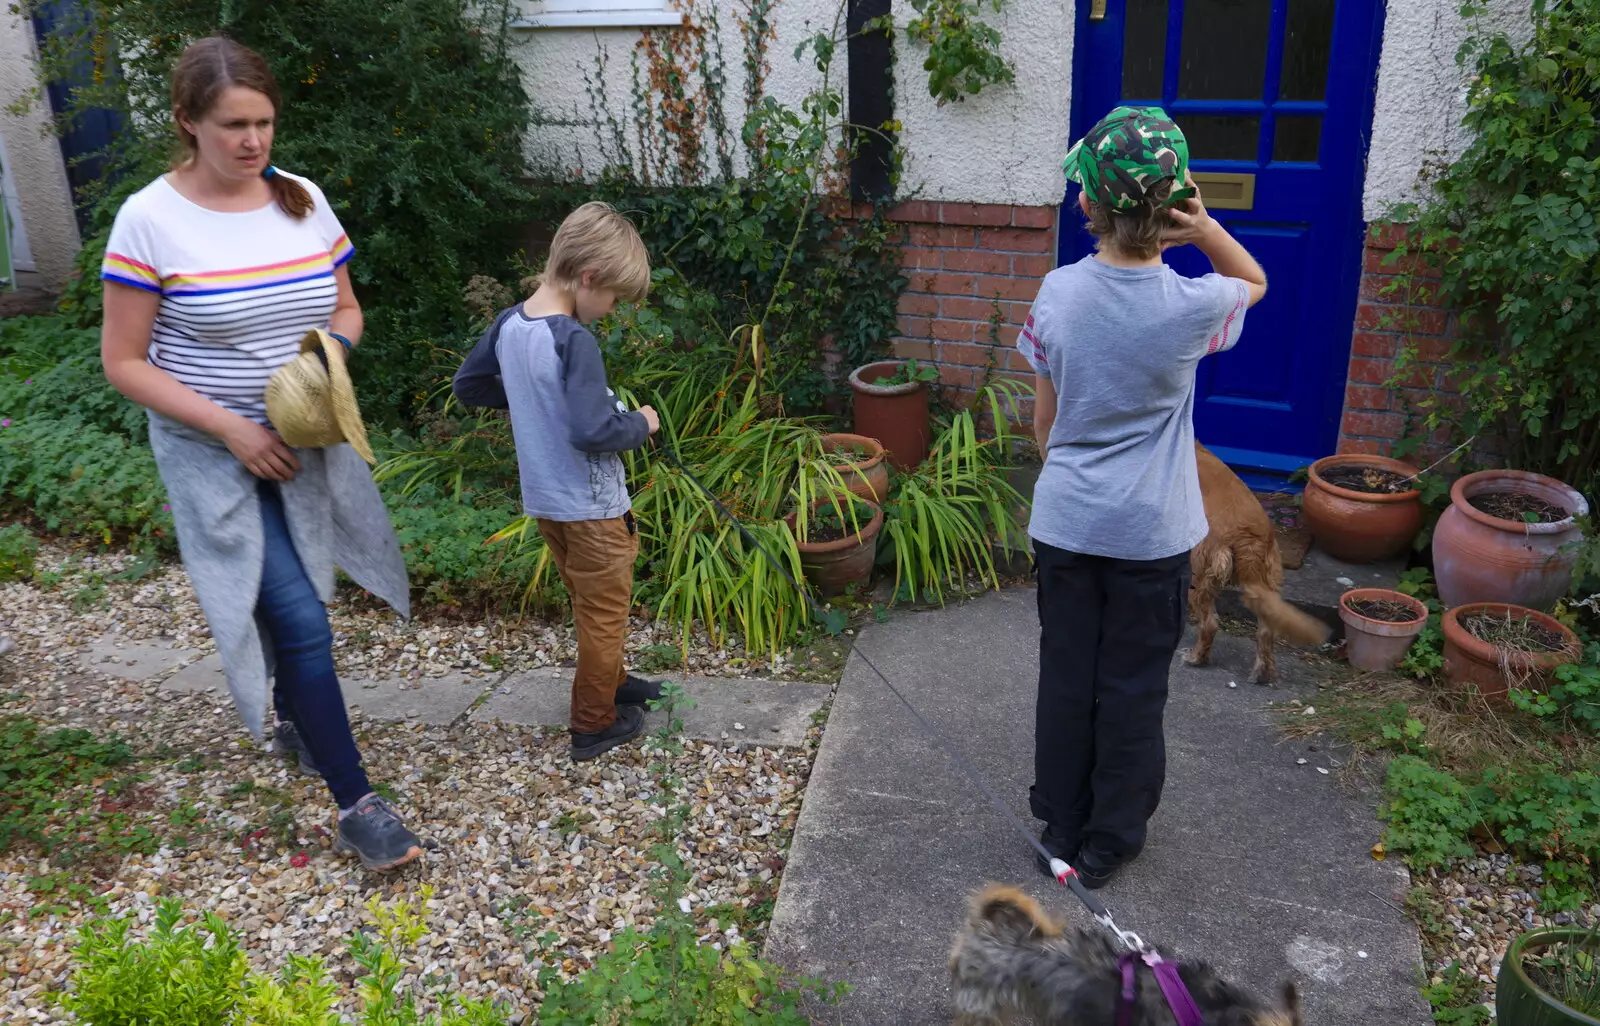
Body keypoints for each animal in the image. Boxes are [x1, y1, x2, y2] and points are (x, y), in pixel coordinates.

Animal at [1184, 444, 1331, 678]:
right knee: (1266, 631)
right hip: (1268, 579)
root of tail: (1248, 537)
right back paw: (1263, 672)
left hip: (1197, 575)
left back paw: (1196, 658)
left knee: (1209, 625)